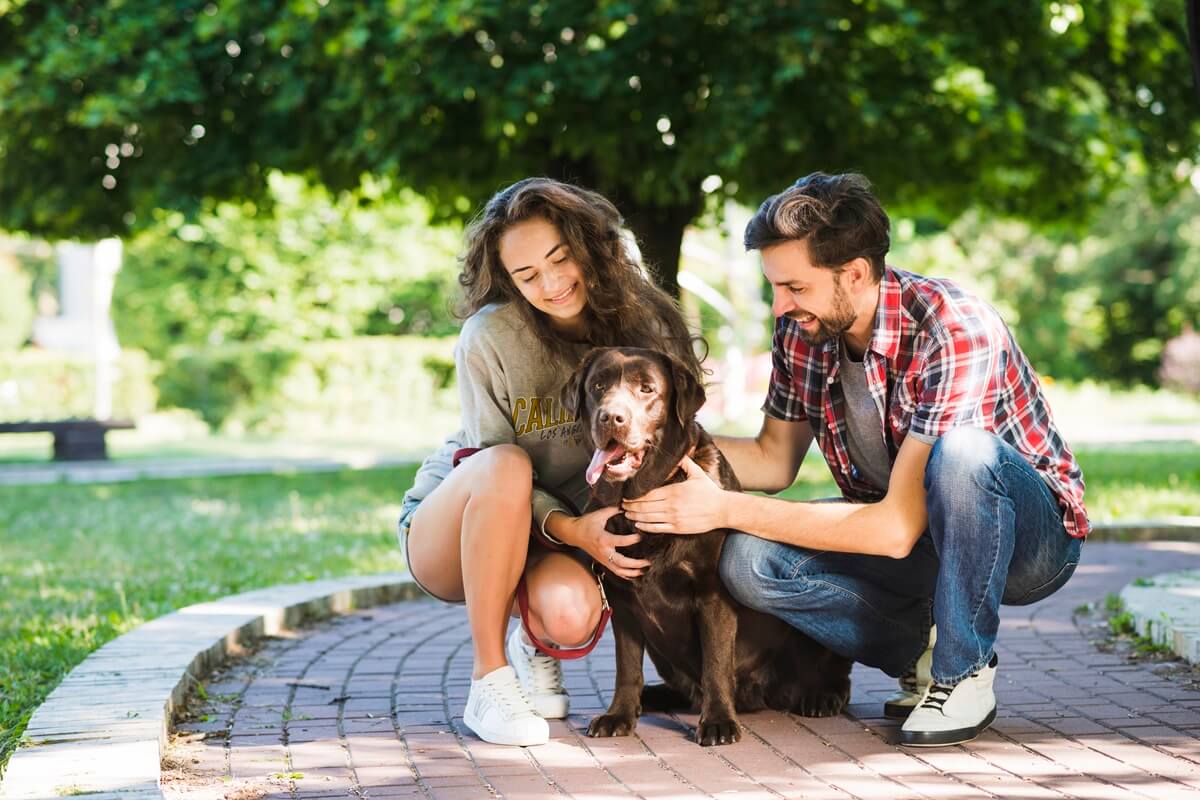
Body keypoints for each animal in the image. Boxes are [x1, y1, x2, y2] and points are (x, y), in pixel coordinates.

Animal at [561, 347, 854, 748]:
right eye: (598, 387)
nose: (611, 417)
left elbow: (716, 662)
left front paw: (718, 722)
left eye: (647, 388)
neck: (644, 494)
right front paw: (618, 714)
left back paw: (820, 696)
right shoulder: (621, 598)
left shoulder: (712, 594)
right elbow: (627, 665)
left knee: (835, 672)